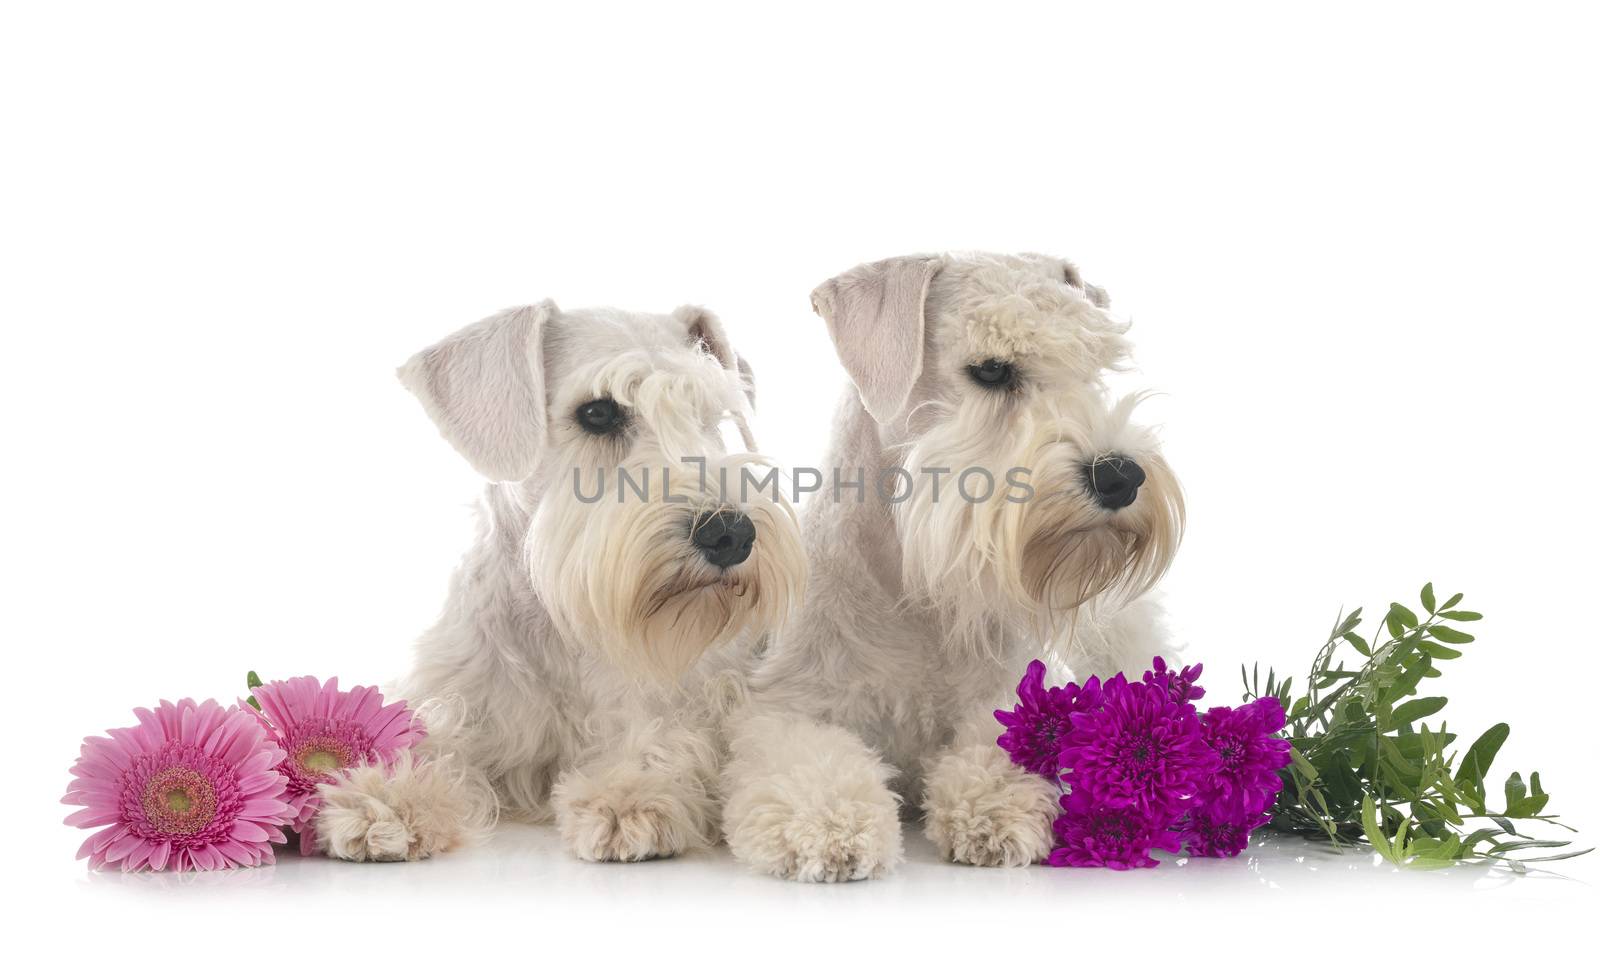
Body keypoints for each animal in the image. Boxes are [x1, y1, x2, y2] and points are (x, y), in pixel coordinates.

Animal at [313, 300, 806, 864]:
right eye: (598, 412)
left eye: (710, 415)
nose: (731, 534)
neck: (556, 622)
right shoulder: (450, 695)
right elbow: (431, 740)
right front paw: (385, 799)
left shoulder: (682, 704)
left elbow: (658, 741)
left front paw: (629, 795)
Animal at [720, 252, 1184, 876]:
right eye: (990, 370)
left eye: (1092, 369)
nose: (1121, 475)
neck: (913, 589)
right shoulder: (788, 709)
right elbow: (809, 765)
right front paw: (830, 826)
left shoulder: (1008, 700)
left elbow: (993, 751)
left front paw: (994, 810)